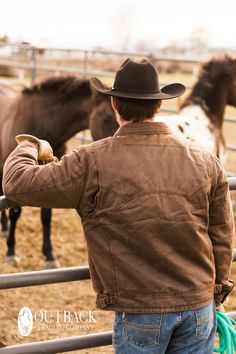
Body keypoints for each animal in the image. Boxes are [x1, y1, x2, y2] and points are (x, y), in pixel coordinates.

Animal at [0, 76, 109, 266]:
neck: (40, 123)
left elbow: (46, 216)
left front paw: (49, 255)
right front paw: (11, 251)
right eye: (106, 117)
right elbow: (16, 213)